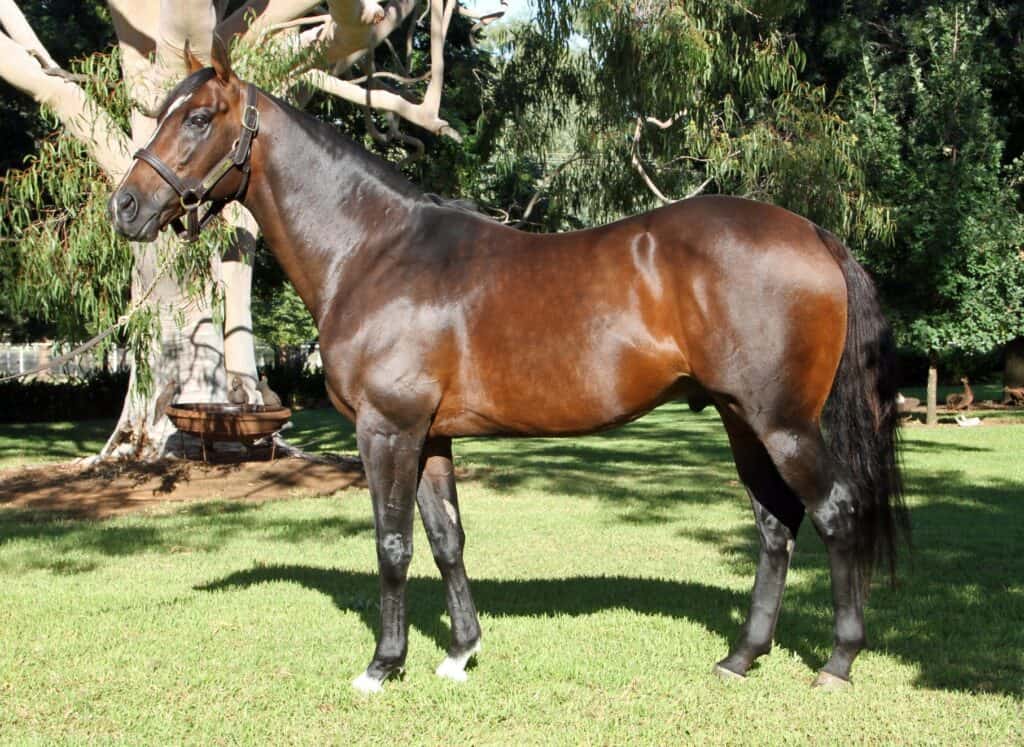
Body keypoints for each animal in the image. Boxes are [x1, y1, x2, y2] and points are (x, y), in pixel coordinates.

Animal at [109, 42, 908, 694]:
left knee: (835, 512)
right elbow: (446, 540)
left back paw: (837, 662)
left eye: (199, 117)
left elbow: (392, 543)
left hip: (784, 424)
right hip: (743, 420)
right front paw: (461, 652)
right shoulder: (429, 435)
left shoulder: (386, 429)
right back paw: (741, 656)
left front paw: (383, 665)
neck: (374, 251)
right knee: (776, 525)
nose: (125, 206)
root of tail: (813, 233)